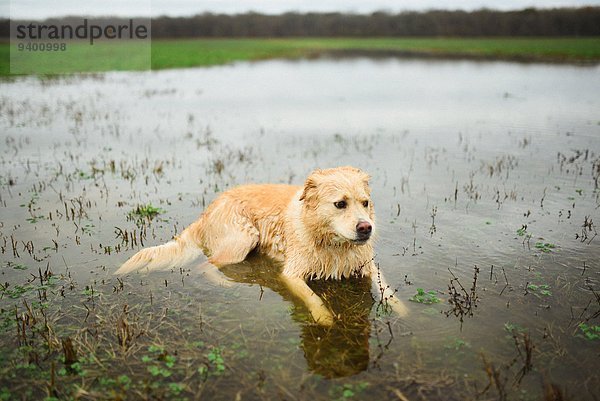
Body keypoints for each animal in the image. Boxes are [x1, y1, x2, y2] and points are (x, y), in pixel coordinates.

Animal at [116, 166, 408, 324]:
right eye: (340, 204)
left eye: (365, 203)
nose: (366, 228)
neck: (333, 243)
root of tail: (208, 211)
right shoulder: (291, 275)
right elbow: (312, 297)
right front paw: (324, 318)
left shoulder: (368, 266)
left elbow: (387, 289)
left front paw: (405, 311)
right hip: (243, 239)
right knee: (205, 265)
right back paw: (224, 282)